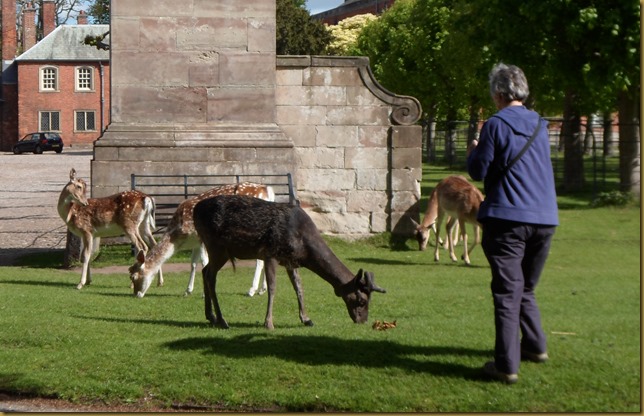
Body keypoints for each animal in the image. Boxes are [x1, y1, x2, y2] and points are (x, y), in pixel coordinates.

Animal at [129, 182, 274, 298]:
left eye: (133, 277)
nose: (137, 294)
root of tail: (267, 190)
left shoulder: (203, 238)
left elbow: (205, 262)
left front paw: (205, 293)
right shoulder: (196, 242)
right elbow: (193, 263)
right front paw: (187, 291)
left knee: (259, 260)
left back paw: (252, 290)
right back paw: (262, 290)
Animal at [193, 195, 387, 330]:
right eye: (361, 301)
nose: (363, 320)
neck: (305, 248)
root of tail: (194, 210)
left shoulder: (290, 261)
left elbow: (299, 287)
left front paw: (306, 319)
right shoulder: (270, 254)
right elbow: (272, 288)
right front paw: (269, 323)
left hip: (218, 250)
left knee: (204, 271)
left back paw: (211, 316)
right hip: (216, 246)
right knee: (210, 276)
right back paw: (222, 320)